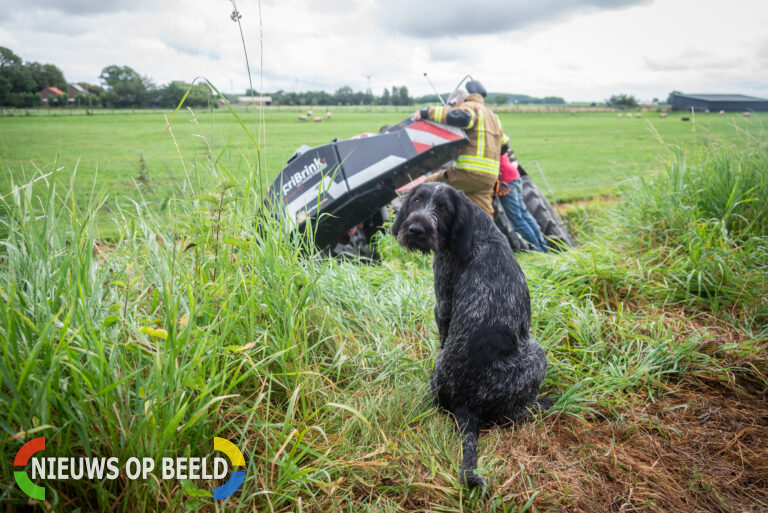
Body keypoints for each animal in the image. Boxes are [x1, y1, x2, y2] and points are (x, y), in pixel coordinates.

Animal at [392, 182, 548, 486]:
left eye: (443, 208)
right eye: (416, 201)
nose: (416, 229)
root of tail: (467, 407)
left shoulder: (442, 305)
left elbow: (441, 333)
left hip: (537, 353)